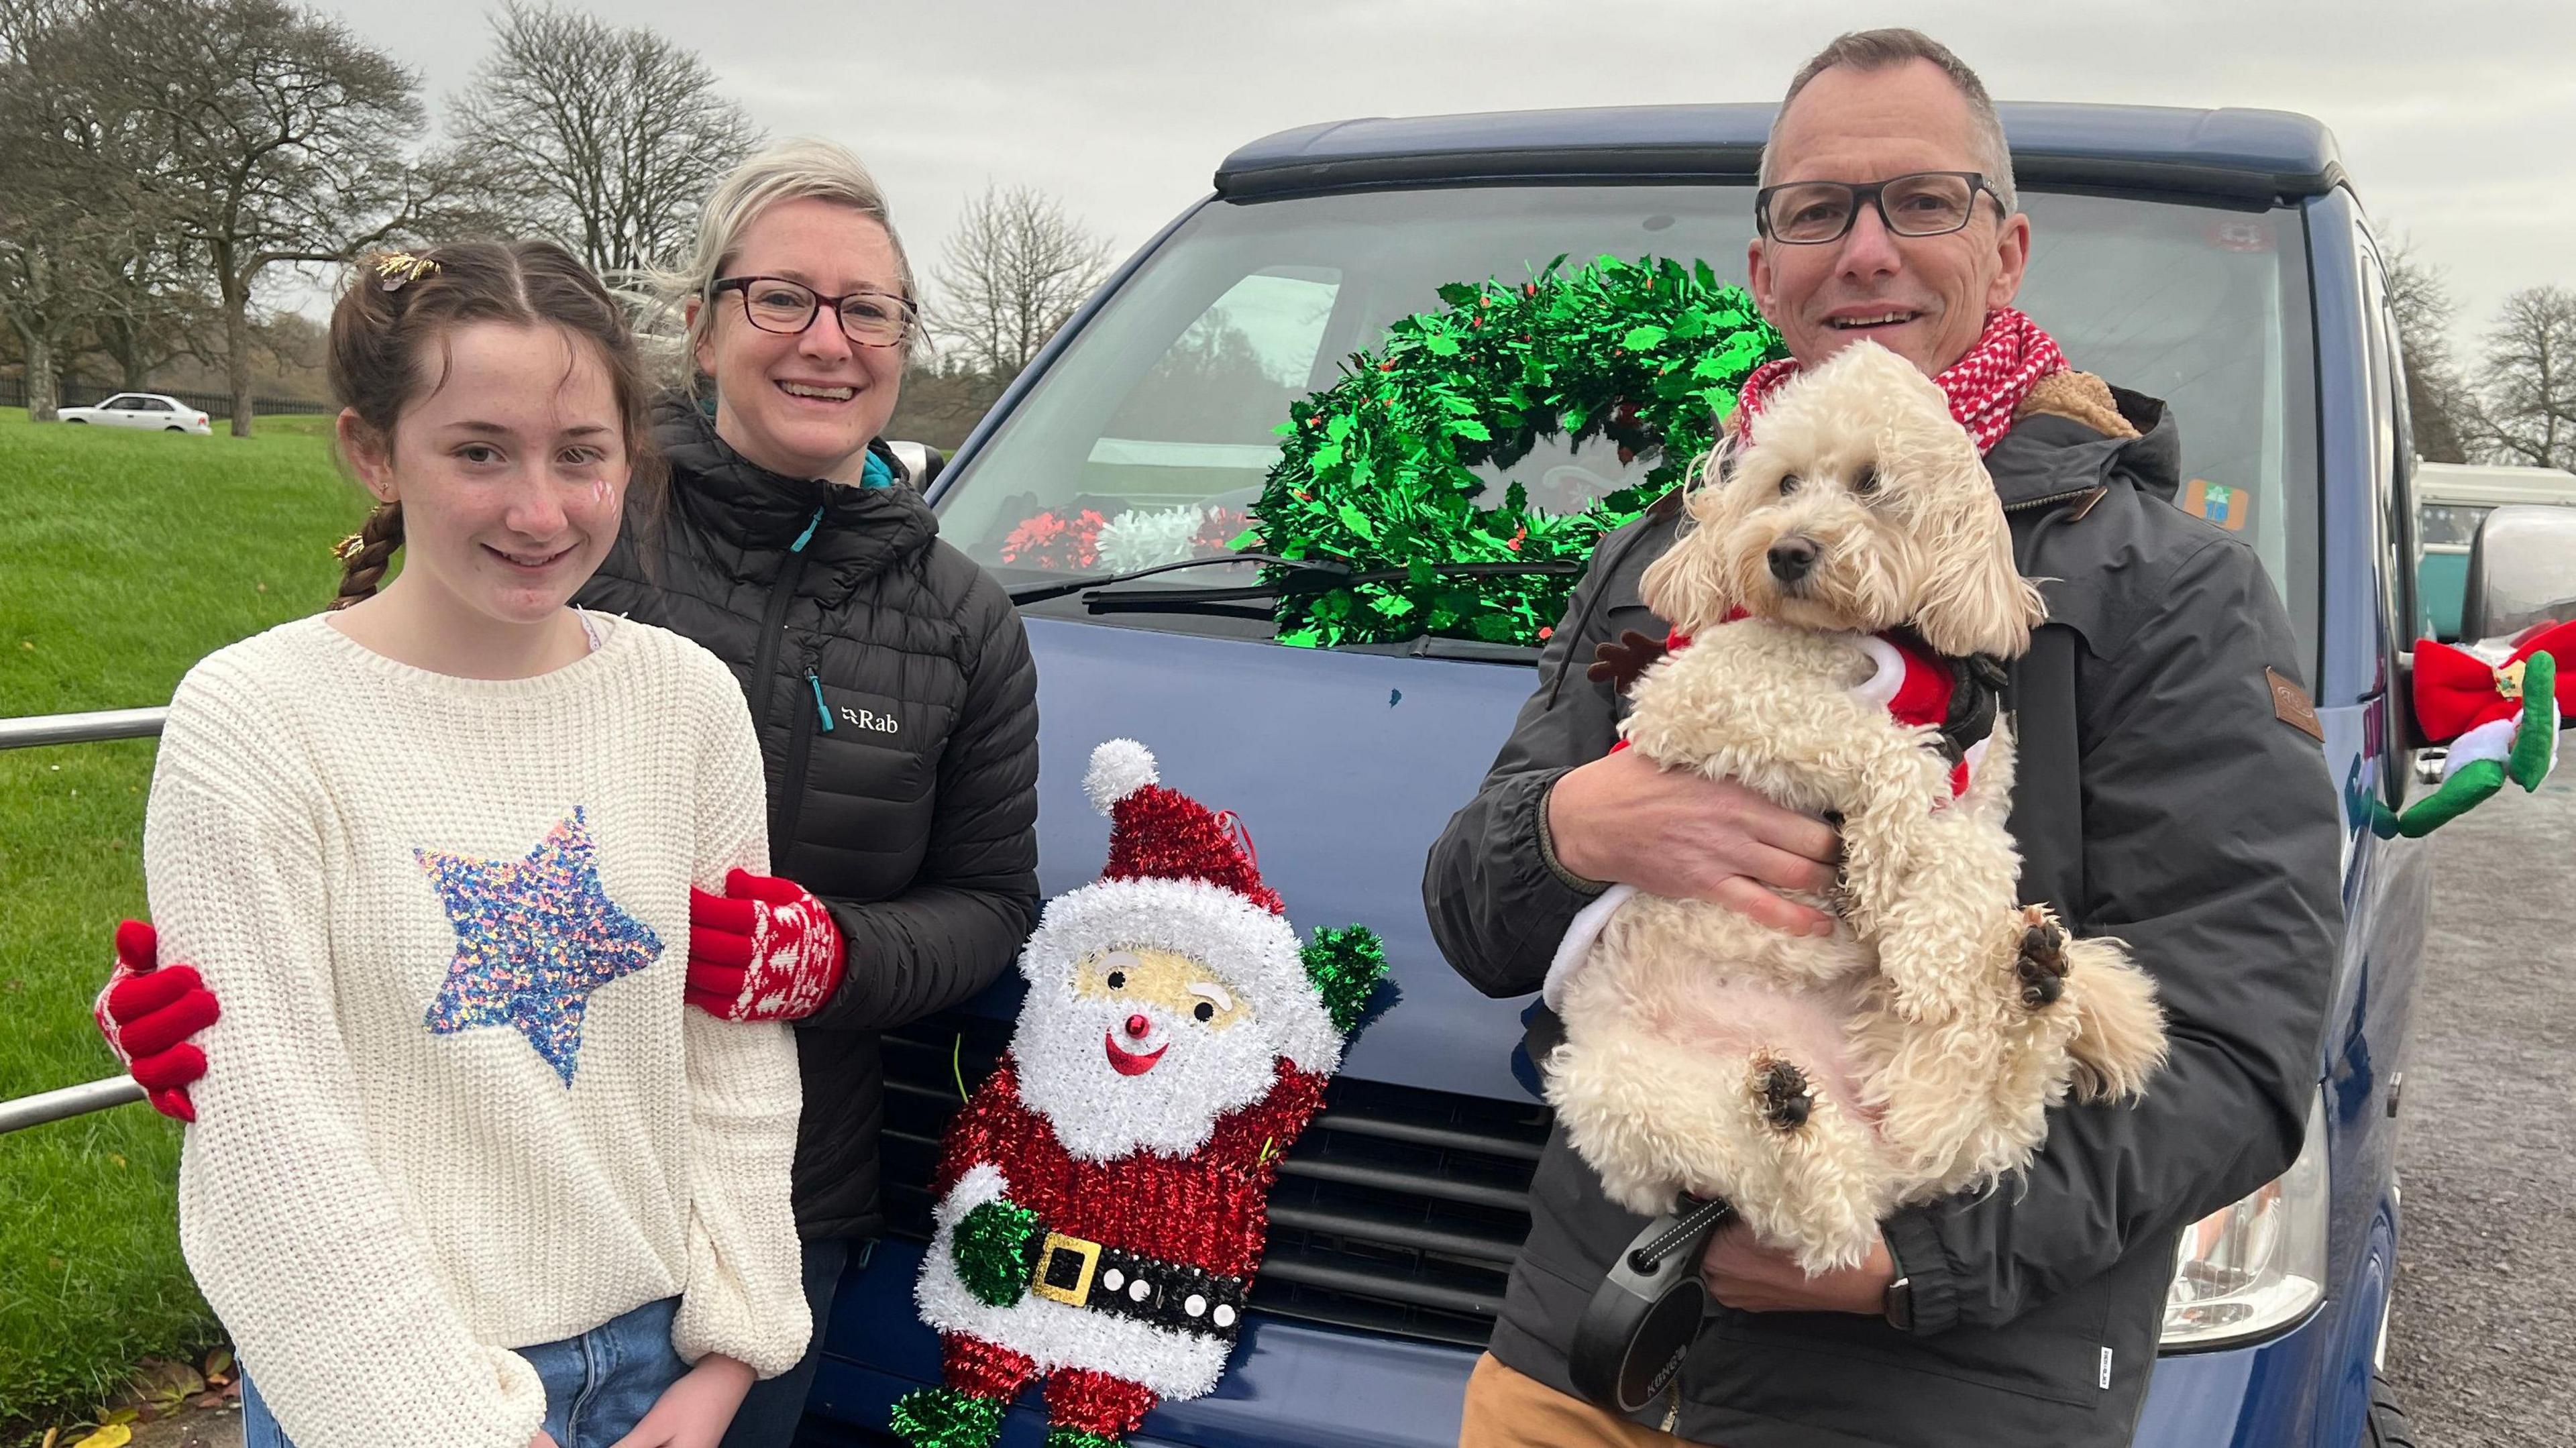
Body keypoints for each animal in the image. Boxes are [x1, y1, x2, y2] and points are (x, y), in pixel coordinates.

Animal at [1546, 337, 2174, 1262]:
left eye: (1872, 482)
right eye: (1783, 482)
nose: (1788, 552)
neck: (1872, 638)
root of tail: (1880, 1150)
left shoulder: (1977, 792)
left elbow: (1969, 859)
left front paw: (1929, 949)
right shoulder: (1697, 695)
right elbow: (1875, 746)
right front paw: (1879, 862)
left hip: (1897, 1078)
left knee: (1974, 1114)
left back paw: (2032, 979)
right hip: (1621, 1088)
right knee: (1812, 1213)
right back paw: (1787, 1116)